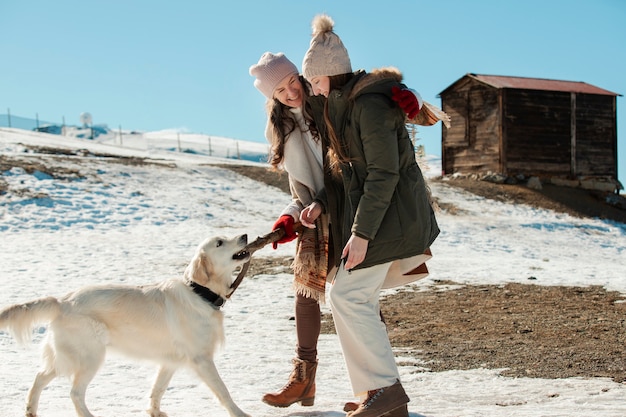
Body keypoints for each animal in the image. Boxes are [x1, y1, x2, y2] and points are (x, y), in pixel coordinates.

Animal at [0, 234, 249, 416]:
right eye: (220, 243)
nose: (245, 236)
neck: (199, 292)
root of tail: (63, 301)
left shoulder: (171, 361)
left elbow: (157, 389)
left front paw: (154, 411)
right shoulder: (201, 359)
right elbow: (223, 391)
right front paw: (240, 413)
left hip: (66, 357)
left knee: (40, 376)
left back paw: (30, 410)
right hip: (89, 357)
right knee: (75, 393)